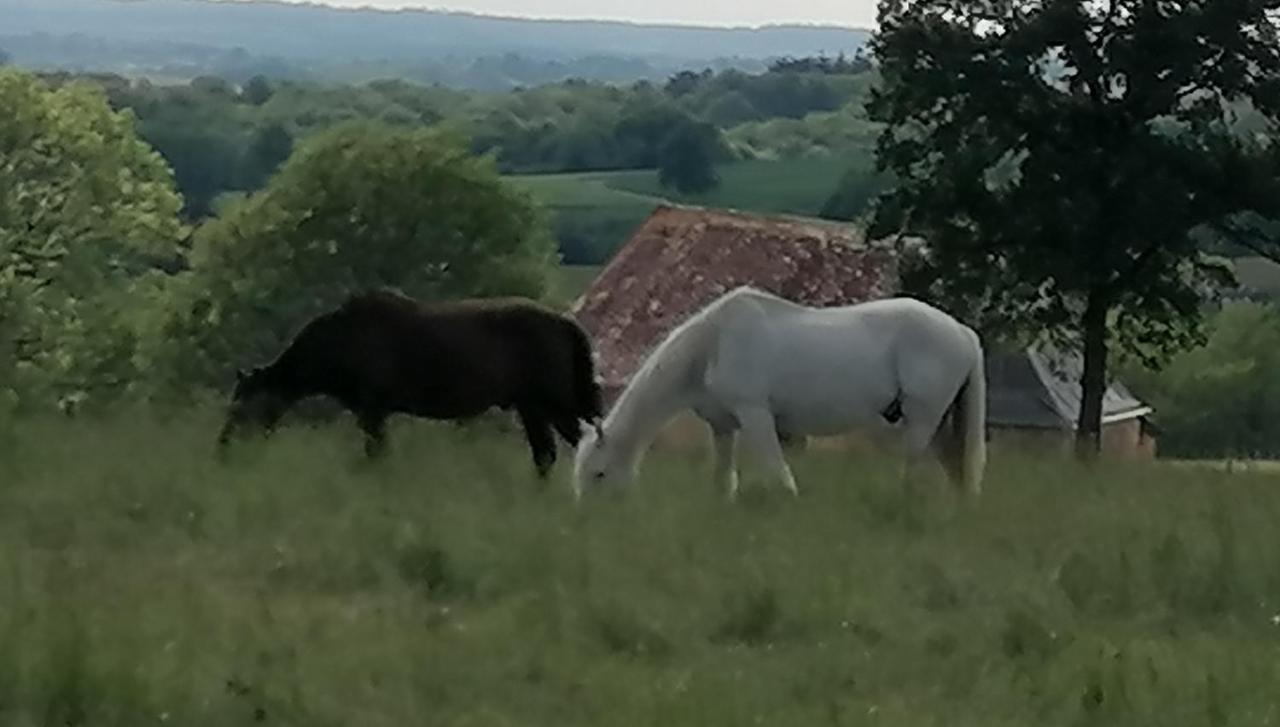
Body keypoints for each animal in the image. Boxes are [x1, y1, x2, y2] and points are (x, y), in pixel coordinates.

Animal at [216, 289, 604, 476]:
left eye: (242, 407)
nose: (223, 448)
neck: (345, 338)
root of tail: (565, 323)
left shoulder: (372, 412)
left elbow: (377, 454)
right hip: (531, 408)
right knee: (545, 456)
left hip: (552, 405)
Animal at [573, 286, 988, 501]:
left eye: (598, 474)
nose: (588, 519)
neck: (712, 345)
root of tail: (962, 332)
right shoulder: (722, 426)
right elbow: (723, 478)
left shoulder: (755, 414)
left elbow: (777, 469)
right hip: (941, 421)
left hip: (923, 418)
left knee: (915, 465)